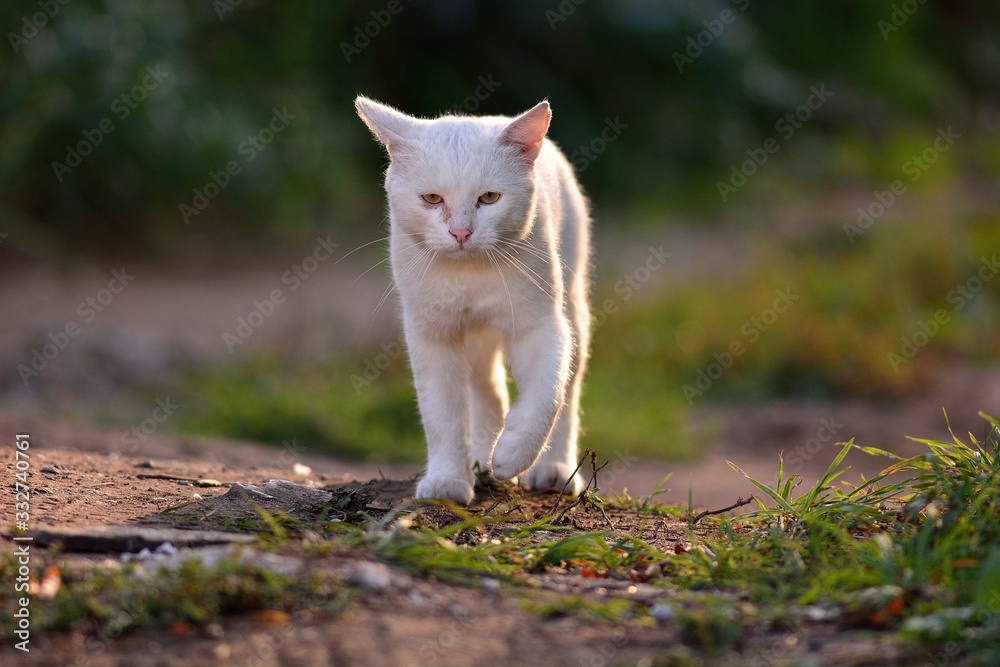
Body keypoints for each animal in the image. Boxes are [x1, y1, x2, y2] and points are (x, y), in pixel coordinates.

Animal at [356, 96, 588, 504]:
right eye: (432, 199)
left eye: (490, 198)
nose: (461, 232)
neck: (469, 278)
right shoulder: (432, 334)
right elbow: (442, 415)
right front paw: (448, 481)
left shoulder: (540, 325)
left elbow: (547, 392)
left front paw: (513, 454)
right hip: (477, 339)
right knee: (488, 389)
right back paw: (482, 460)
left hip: (573, 304)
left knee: (568, 388)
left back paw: (552, 469)